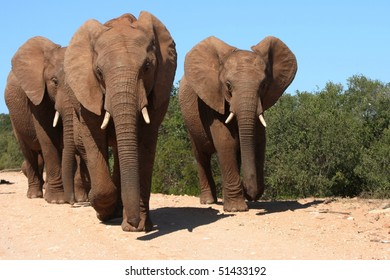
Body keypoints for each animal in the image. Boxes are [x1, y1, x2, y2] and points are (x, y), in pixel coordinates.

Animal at [64, 12, 177, 232]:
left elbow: (145, 145)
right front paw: (103, 212)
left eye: (147, 67)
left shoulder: (160, 88)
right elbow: (94, 140)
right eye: (99, 72)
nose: (132, 222)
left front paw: (139, 226)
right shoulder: (88, 93)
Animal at [178, 35, 298, 210]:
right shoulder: (213, 99)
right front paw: (236, 208)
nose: (250, 192)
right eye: (228, 86)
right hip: (190, 121)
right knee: (201, 154)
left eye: (263, 85)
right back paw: (208, 201)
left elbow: (259, 140)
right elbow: (226, 141)